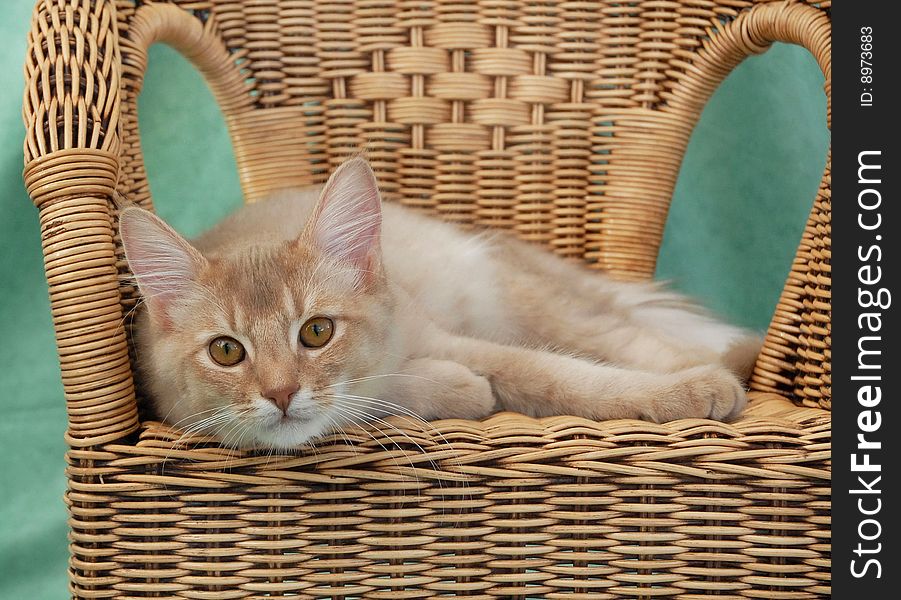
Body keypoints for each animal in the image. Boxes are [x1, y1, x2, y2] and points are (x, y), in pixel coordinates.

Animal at [119, 157, 760, 448]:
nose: (279, 394)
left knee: (625, 334)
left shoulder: (453, 338)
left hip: (515, 295)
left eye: (317, 332)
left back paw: (709, 371)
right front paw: (458, 389)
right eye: (227, 351)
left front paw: (677, 395)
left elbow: (564, 378)